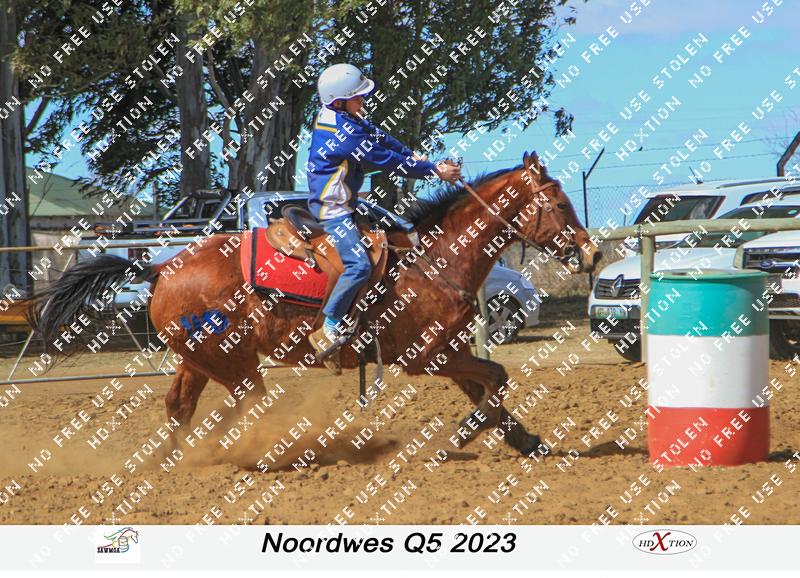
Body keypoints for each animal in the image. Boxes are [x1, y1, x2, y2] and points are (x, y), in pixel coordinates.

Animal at [29, 152, 601, 458]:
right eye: (558, 203)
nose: (591, 253)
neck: (433, 260)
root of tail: (160, 269)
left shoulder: (449, 351)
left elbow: (491, 389)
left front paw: (525, 440)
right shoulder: (426, 357)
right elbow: (496, 378)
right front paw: (459, 437)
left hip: (198, 359)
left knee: (182, 408)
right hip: (231, 360)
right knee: (244, 408)